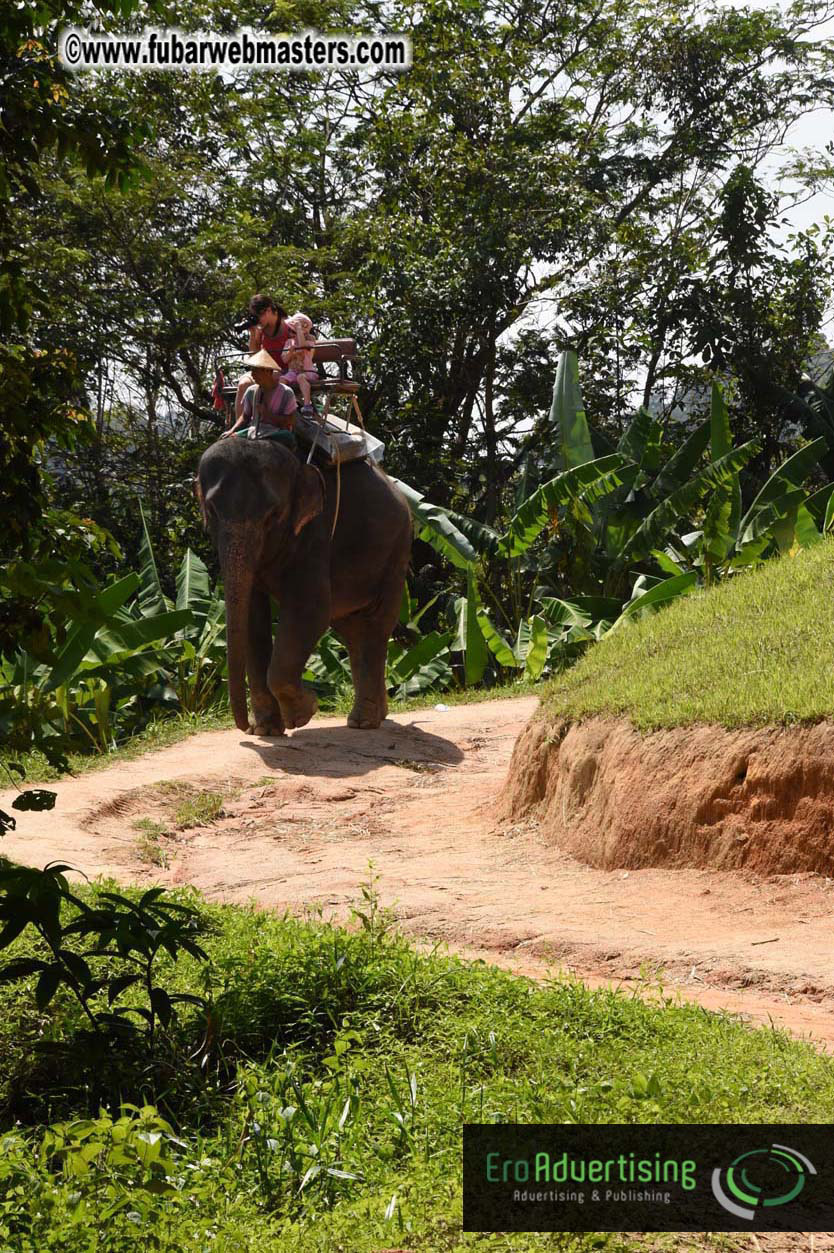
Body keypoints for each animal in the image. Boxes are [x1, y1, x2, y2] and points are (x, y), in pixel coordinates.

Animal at [196, 436, 412, 736]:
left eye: (273, 515)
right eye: (212, 511)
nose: (245, 728)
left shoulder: (316, 535)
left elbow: (310, 611)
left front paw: (303, 713)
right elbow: (252, 618)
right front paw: (267, 731)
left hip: (396, 554)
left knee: (375, 626)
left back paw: (364, 723)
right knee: (354, 631)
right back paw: (376, 716)